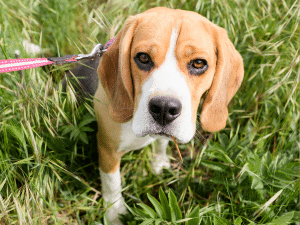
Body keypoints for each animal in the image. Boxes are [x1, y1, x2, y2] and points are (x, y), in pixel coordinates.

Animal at [68, 6, 244, 223]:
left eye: (198, 63)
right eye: (143, 58)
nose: (164, 109)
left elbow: (161, 142)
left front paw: (159, 163)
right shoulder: (107, 147)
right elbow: (112, 182)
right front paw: (115, 213)